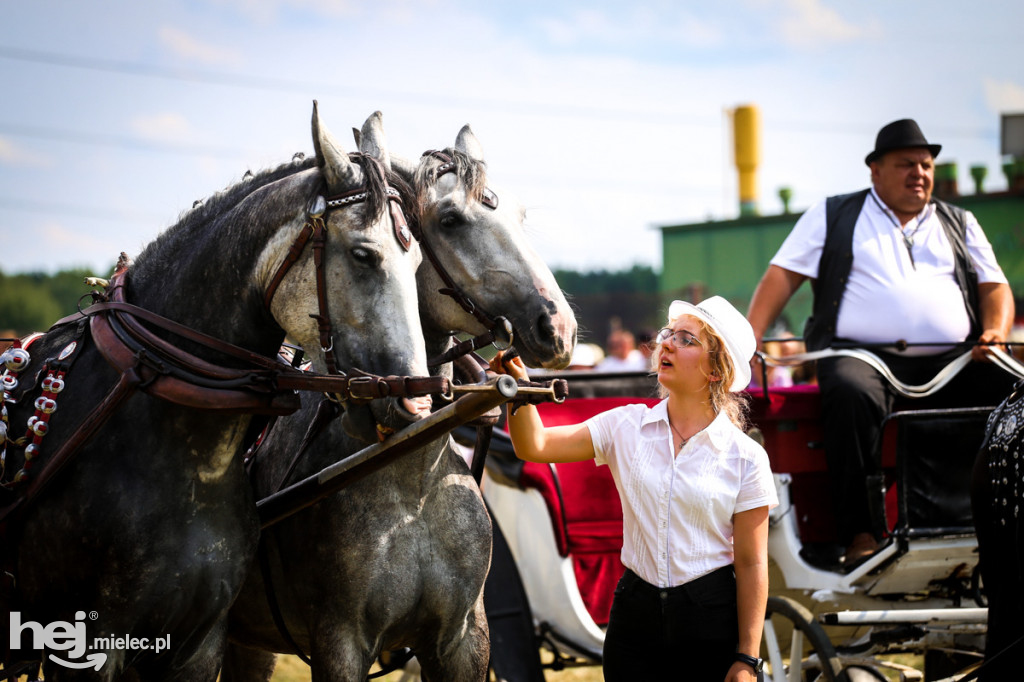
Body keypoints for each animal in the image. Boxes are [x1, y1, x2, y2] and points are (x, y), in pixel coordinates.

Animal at [222, 123, 577, 679]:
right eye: (450, 220)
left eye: (520, 216)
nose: (558, 326)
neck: (412, 473)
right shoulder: (341, 643)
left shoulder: (462, 640)